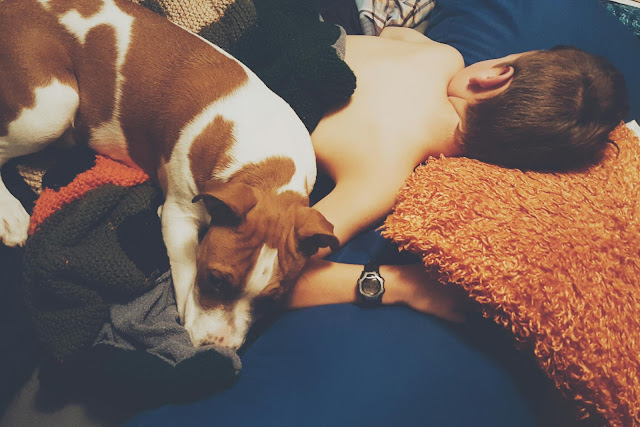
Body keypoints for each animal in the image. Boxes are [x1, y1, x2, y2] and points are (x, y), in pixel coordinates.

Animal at [0, 0, 338, 350]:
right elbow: (186, 271)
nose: (216, 345)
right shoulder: (180, 214)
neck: (265, 168)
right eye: (215, 279)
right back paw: (11, 216)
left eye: (271, 300)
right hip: (53, 107)